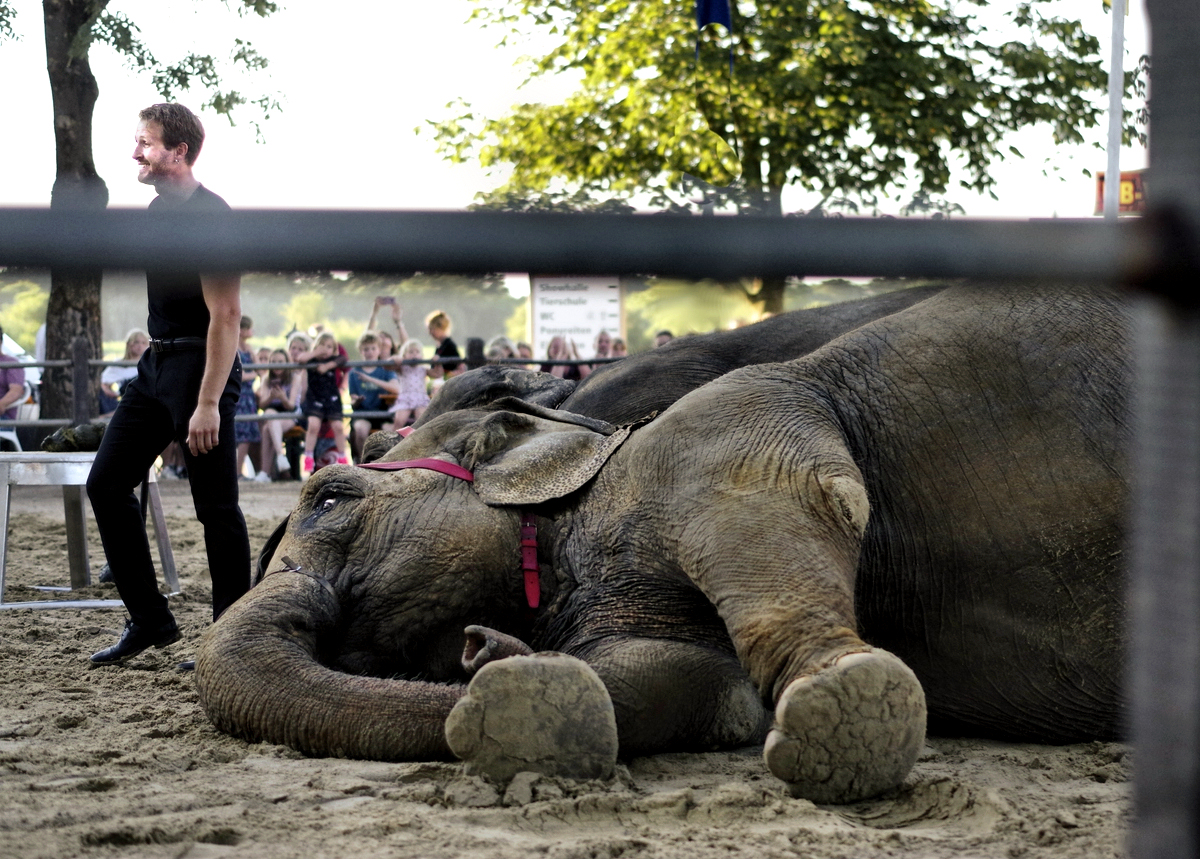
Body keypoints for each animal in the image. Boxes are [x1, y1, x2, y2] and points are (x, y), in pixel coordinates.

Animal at [196, 283, 1123, 806]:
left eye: (329, 496)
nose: (471, 647)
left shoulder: (726, 427)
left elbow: (778, 510)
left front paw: (847, 710)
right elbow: (694, 681)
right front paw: (512, 687)